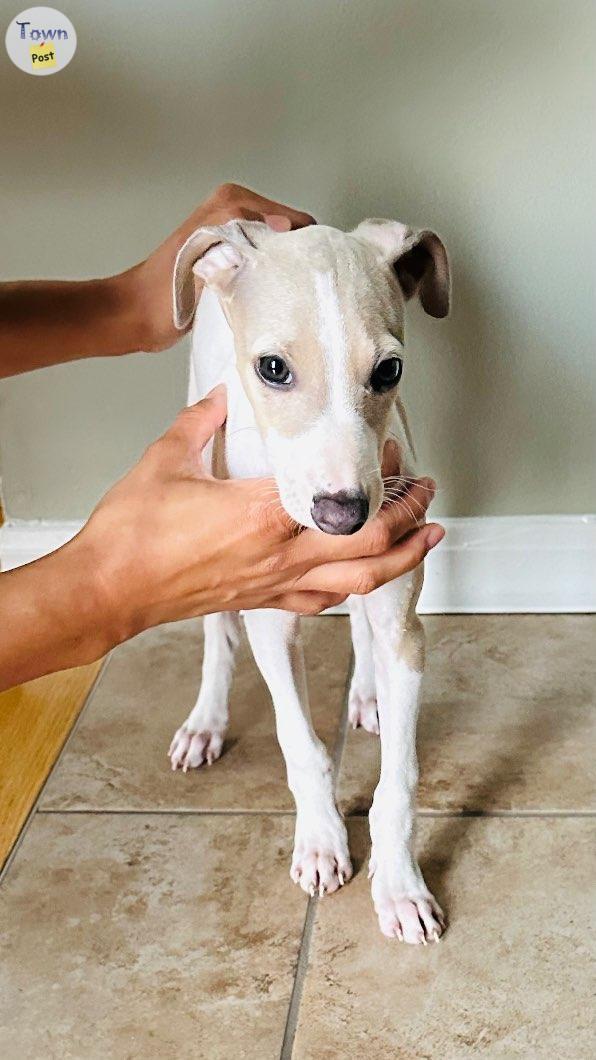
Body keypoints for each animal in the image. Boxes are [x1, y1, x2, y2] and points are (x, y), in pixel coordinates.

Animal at [164, 217, 447, 945]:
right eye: (272, 368)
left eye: (389, 370)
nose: (340, 516)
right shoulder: (271, 623)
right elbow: (301, 745)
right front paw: (321, 844)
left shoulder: (404, 624)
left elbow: (399, 778)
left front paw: (400, 887)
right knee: (217, 635)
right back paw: (205, 722)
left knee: (362, 628)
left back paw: (368, 693)